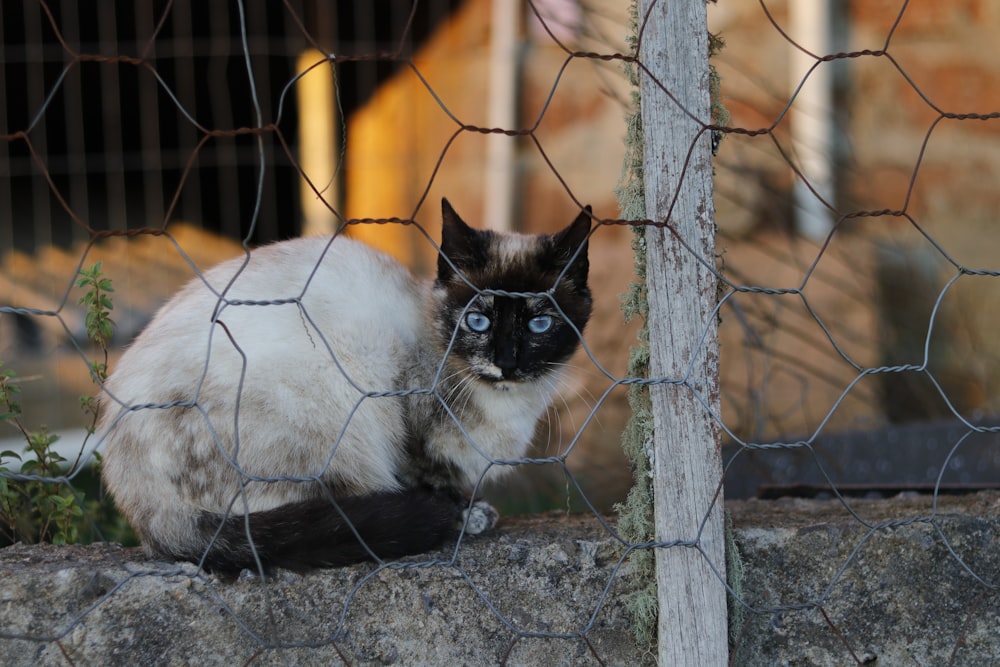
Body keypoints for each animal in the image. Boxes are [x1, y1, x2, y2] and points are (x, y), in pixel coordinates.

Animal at [97, 198, 588, 576]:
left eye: (540, 324)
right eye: (478, 321)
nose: (507, 362)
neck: (508, 406)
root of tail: (141, 508)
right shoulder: (407, 421)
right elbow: (428, 476)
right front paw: (467, 514)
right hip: (333, 410)